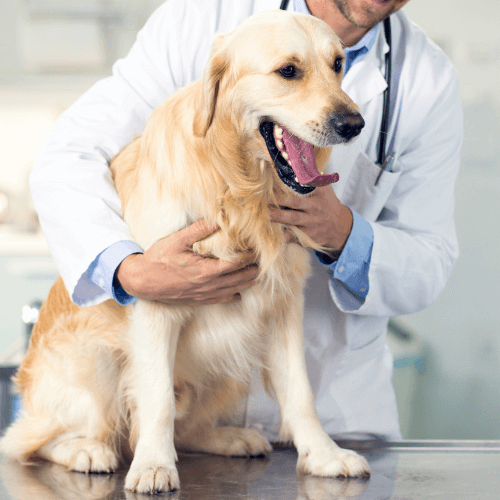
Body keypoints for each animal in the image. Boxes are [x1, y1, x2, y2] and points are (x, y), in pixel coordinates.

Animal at [0, 9, 368, 494]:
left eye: (338, 64)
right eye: (289, 71)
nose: (353, 124)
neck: (238, 186)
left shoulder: (283, 306)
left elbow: (301, 393)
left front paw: (323, 455)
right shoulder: (159, 302)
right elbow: (157, 400)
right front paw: (154, 466)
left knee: (187, 427)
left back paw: (230, 438)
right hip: (96, 359)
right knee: (29, 440)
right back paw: (87, 450)